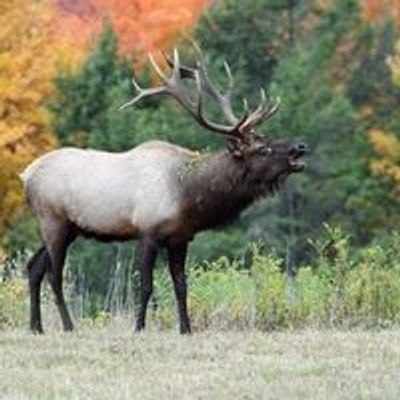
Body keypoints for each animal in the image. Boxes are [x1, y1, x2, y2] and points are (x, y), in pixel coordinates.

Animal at [21, 43, 306, 334]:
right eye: (263, 149)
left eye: (268, 138)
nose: (300, 146)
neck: (189, 196)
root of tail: (26, 175)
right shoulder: (147, 232)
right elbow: (146, 286)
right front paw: (138, 327)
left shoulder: (180, 237)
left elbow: (181, 285)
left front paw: (186, 329)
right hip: (53, 220)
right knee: (54, 275)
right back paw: (68, 326)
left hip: (69, 228)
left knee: (34, 267)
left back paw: (36, 327)